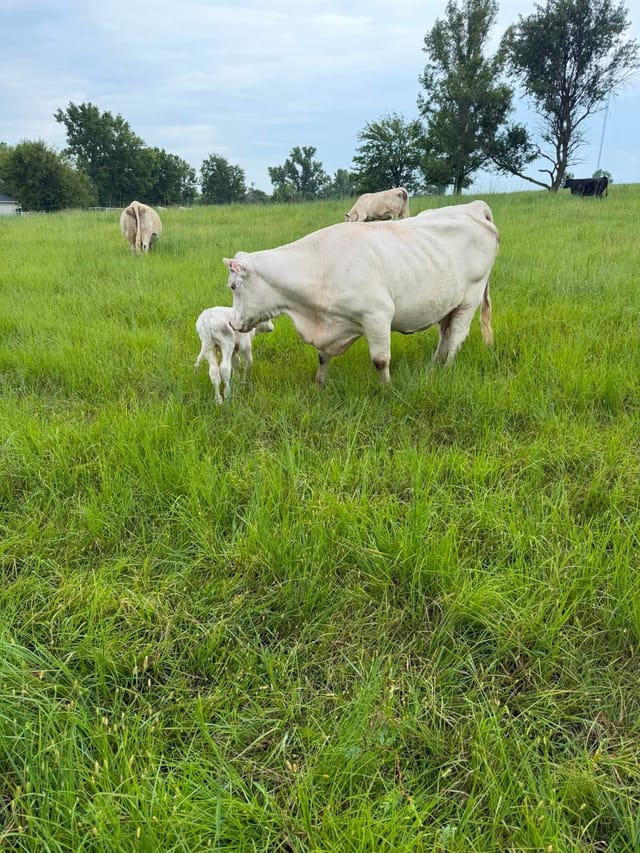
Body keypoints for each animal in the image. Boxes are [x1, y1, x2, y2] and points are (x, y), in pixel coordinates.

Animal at [224, 200, 499, 387]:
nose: (232, 323)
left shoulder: (377, 316)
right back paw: (432, 367)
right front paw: (319, 386)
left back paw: (446, 369)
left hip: (470, 297)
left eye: (233, 286)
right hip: (447, 302)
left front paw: (386, 389)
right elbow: (323, 357)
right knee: (446, 333)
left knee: (456, 337)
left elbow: (380, 360)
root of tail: (475, 207)